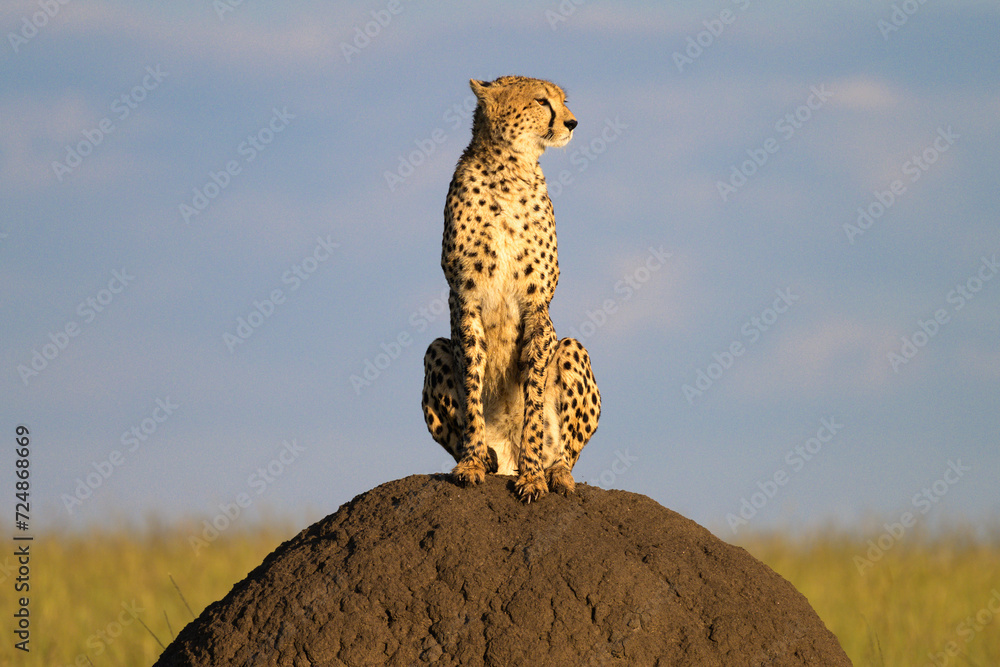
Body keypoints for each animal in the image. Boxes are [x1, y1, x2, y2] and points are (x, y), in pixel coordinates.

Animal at [420, 77, 600, 500]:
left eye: (562, 101)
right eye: (541, 101)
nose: (572, 122)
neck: (508, 170)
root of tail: (506, 456)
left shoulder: (538, 307)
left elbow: (533, 399)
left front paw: (532, 475)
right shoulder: (464, 299)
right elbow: (472, 384)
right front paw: (470, 463)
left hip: (572, 348)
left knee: (566, 452)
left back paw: (555, 472)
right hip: (435, 349)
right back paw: (486, 458)